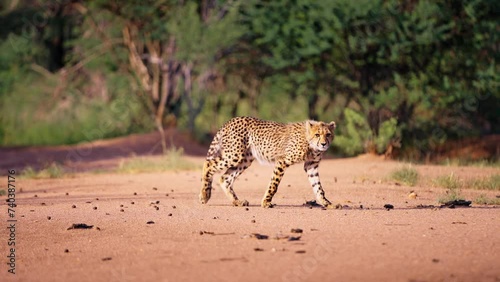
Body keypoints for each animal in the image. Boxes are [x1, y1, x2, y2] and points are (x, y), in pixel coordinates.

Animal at [199, 115, 336, 208]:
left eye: (328, 134)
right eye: (317, 134)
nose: (324, 144)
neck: (310, 143)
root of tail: (232, 120)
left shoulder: (311, 165)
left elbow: (318, 187)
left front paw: (327, 203)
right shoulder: (282, 161)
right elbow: (274, 184)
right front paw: (266, 202)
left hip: (245, 159)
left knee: (224, 178)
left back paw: (237, 202)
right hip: (234, 154)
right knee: (209, 164)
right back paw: (205, 195)